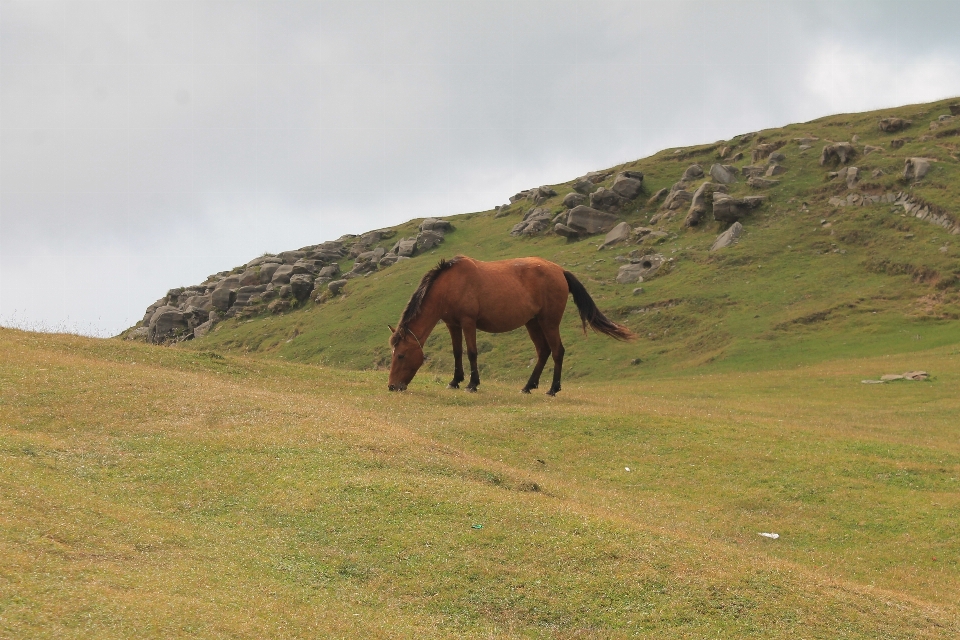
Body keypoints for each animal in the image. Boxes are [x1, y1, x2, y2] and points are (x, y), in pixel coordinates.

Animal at [386, 256, 632, 396]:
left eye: (401, 355)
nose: (392, 386)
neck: (451, 284)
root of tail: (560, 271)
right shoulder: (452, 324)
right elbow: (457, 353)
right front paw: (455, 381)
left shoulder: (468, 322)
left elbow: (472, 352)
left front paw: (472, 384)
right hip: (533, 323)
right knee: (543, 351)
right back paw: (528, 386)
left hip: (549, 322)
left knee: (557, 351)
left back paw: (553, 389)